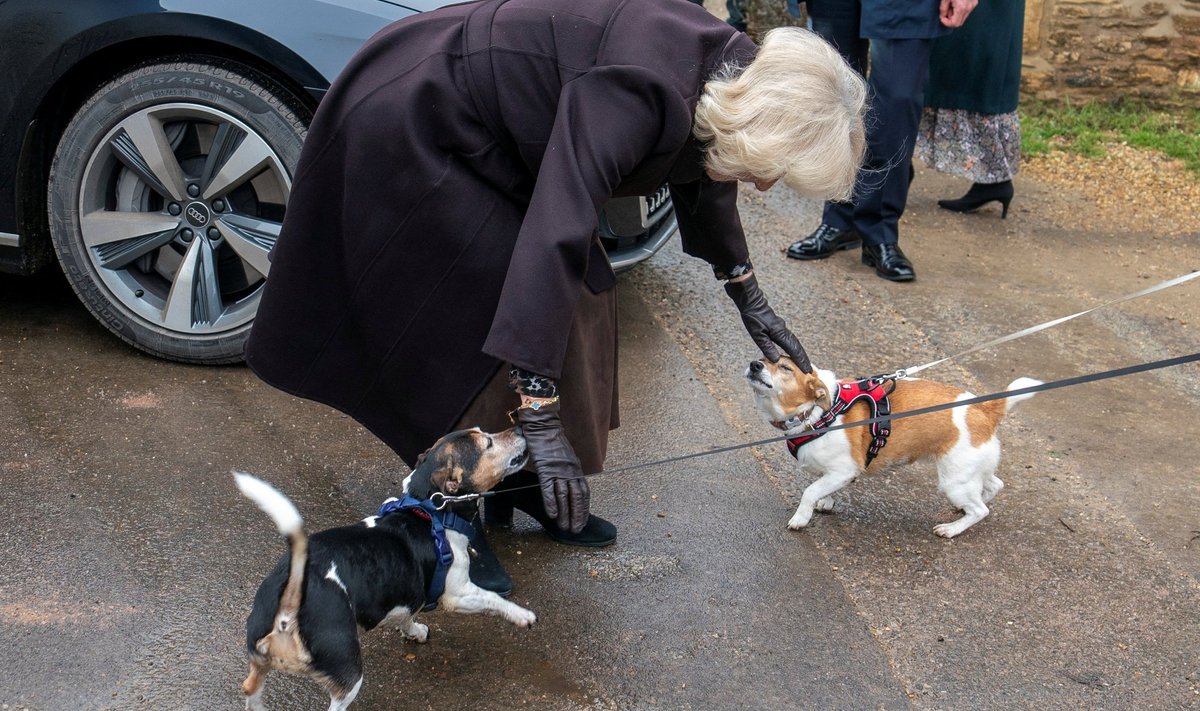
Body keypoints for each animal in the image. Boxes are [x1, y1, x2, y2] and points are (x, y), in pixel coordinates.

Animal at [234, 425, 535, 706]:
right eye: (488, 443)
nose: (520, 428)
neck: (431, 510)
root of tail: (288, 608)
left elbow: (407, 615)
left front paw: (414, 632)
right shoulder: (458, 594)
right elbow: (494, 599)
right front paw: (521, 615)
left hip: (259, 666)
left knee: (250, 690)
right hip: (347, 672)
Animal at [739, 357, 1041, 535]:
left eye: (785, 368)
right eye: (764, 358)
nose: (754, 364)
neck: (820, 412)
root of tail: (986, 409)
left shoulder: (844, 470)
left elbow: (809, 491)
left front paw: (802, 517)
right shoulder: (833, 474)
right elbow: (822, 489)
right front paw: (825, 502)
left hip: (954, 479)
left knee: (981, 511)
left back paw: (952, 528)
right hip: (970, 472)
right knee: (993, 487)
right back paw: (965, 509)